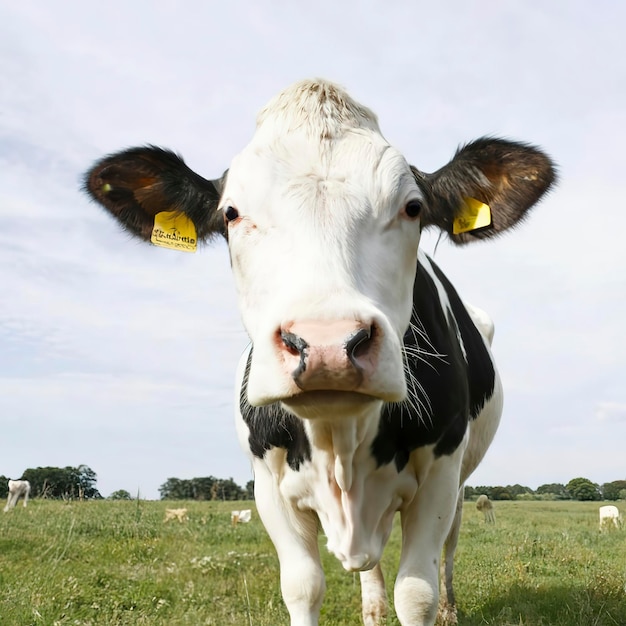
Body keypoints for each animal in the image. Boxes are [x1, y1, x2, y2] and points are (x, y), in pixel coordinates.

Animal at [81, 78, 552, 624]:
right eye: (231, 213)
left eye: (413, 207)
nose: (327, 345)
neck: (340, 439)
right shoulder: (267, 485)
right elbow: (303, 587)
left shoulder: (440, 472)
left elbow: (417, 591)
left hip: (458, 487)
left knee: (450, 547)